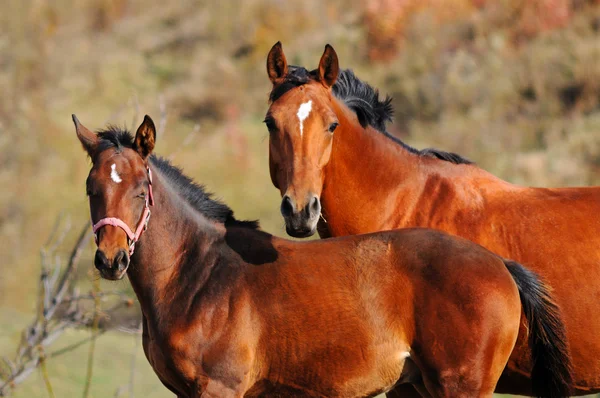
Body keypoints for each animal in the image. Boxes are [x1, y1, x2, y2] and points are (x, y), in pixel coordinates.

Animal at [76, 113, 572, 396]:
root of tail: (500, 266)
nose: (111, 260)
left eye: (140, 189)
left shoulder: (221, 389)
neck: (199, 276)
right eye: (91, 188)